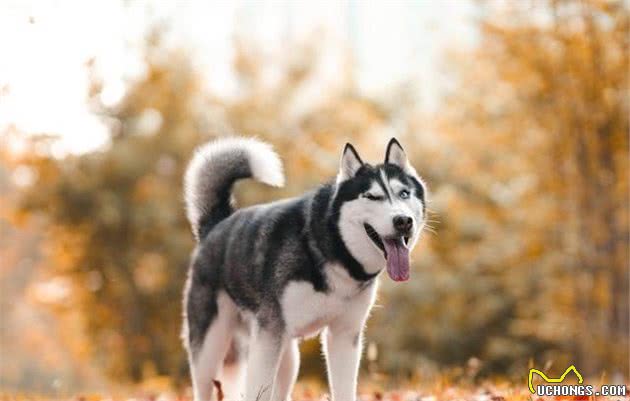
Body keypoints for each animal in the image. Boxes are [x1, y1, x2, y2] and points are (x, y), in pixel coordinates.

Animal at [183, 137, 430, 400]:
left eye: (404, 194)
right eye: (372, 197)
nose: (403, 221)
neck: (334, 249)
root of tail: (217, 224)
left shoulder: (344, 335)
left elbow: (344, 389)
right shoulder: (269, 334)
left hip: (286, 355)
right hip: (211, 347)